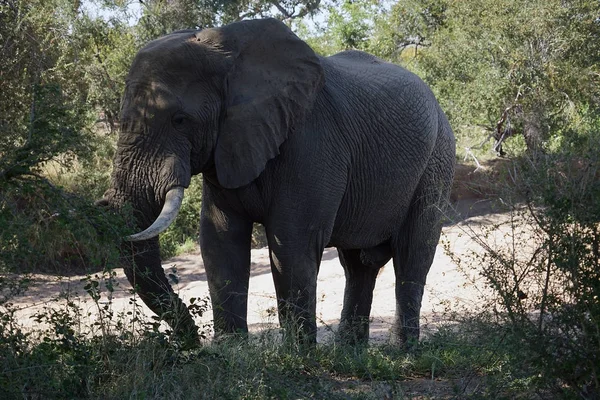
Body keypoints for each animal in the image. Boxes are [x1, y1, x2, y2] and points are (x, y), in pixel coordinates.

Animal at [99, 17, 454, 346]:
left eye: (180, 120)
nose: (193, 345)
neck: (226, 51)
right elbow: (220, 240)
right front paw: (231, 355)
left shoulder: (312, 140)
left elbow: (293, 241)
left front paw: (297, 359)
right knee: (357, 265)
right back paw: (350, 356)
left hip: (437, 159)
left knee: (412, 255)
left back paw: (403, 353)